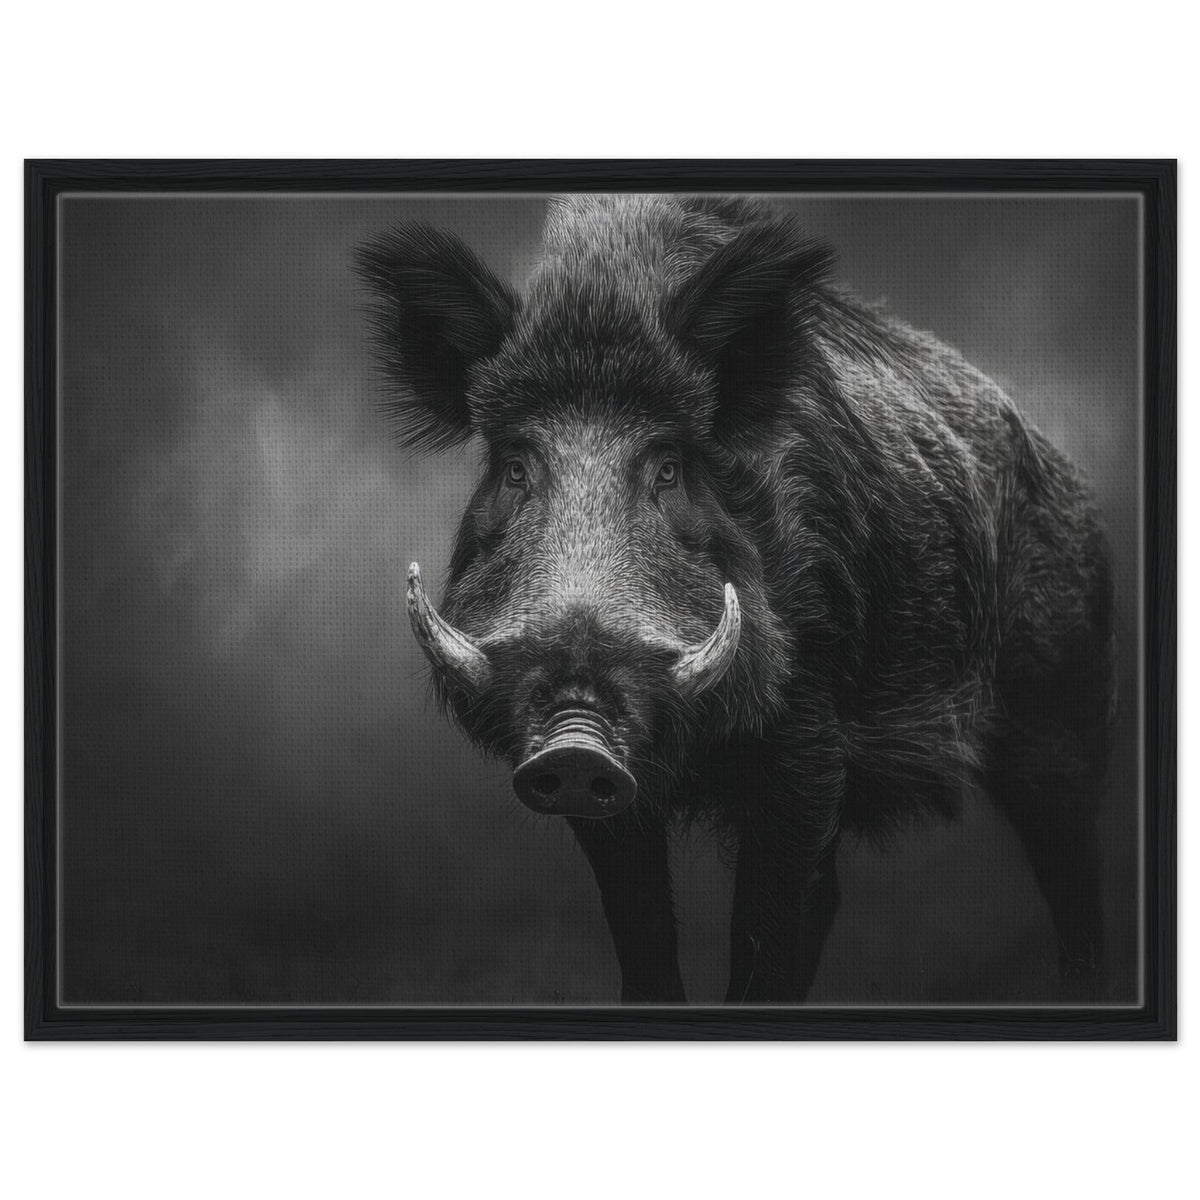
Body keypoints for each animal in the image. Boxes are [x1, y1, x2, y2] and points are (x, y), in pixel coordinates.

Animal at [355, 195, 1115, 1003]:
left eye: (668, 467)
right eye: (515, 467)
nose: (576, 734)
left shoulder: (808, 733)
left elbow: (767, 924)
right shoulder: (595, 790)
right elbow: (645, 928)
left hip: (1063, 713)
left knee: (1071, 874)